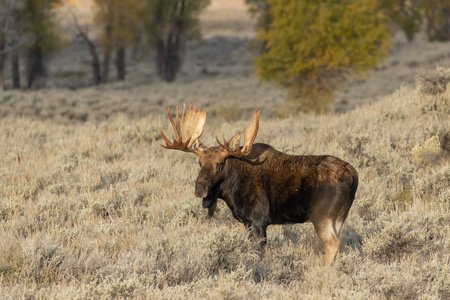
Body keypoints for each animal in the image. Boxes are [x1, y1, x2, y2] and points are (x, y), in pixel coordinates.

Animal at [160, 103, 356, 264]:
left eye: (220, 163)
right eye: (199, 163)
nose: (200, 189)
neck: (230, 191)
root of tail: (353, 175)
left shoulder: (257, 221)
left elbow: (257, 253)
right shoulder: (249, 223)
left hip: (321, 215)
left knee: (332, 243)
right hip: (339, 216)